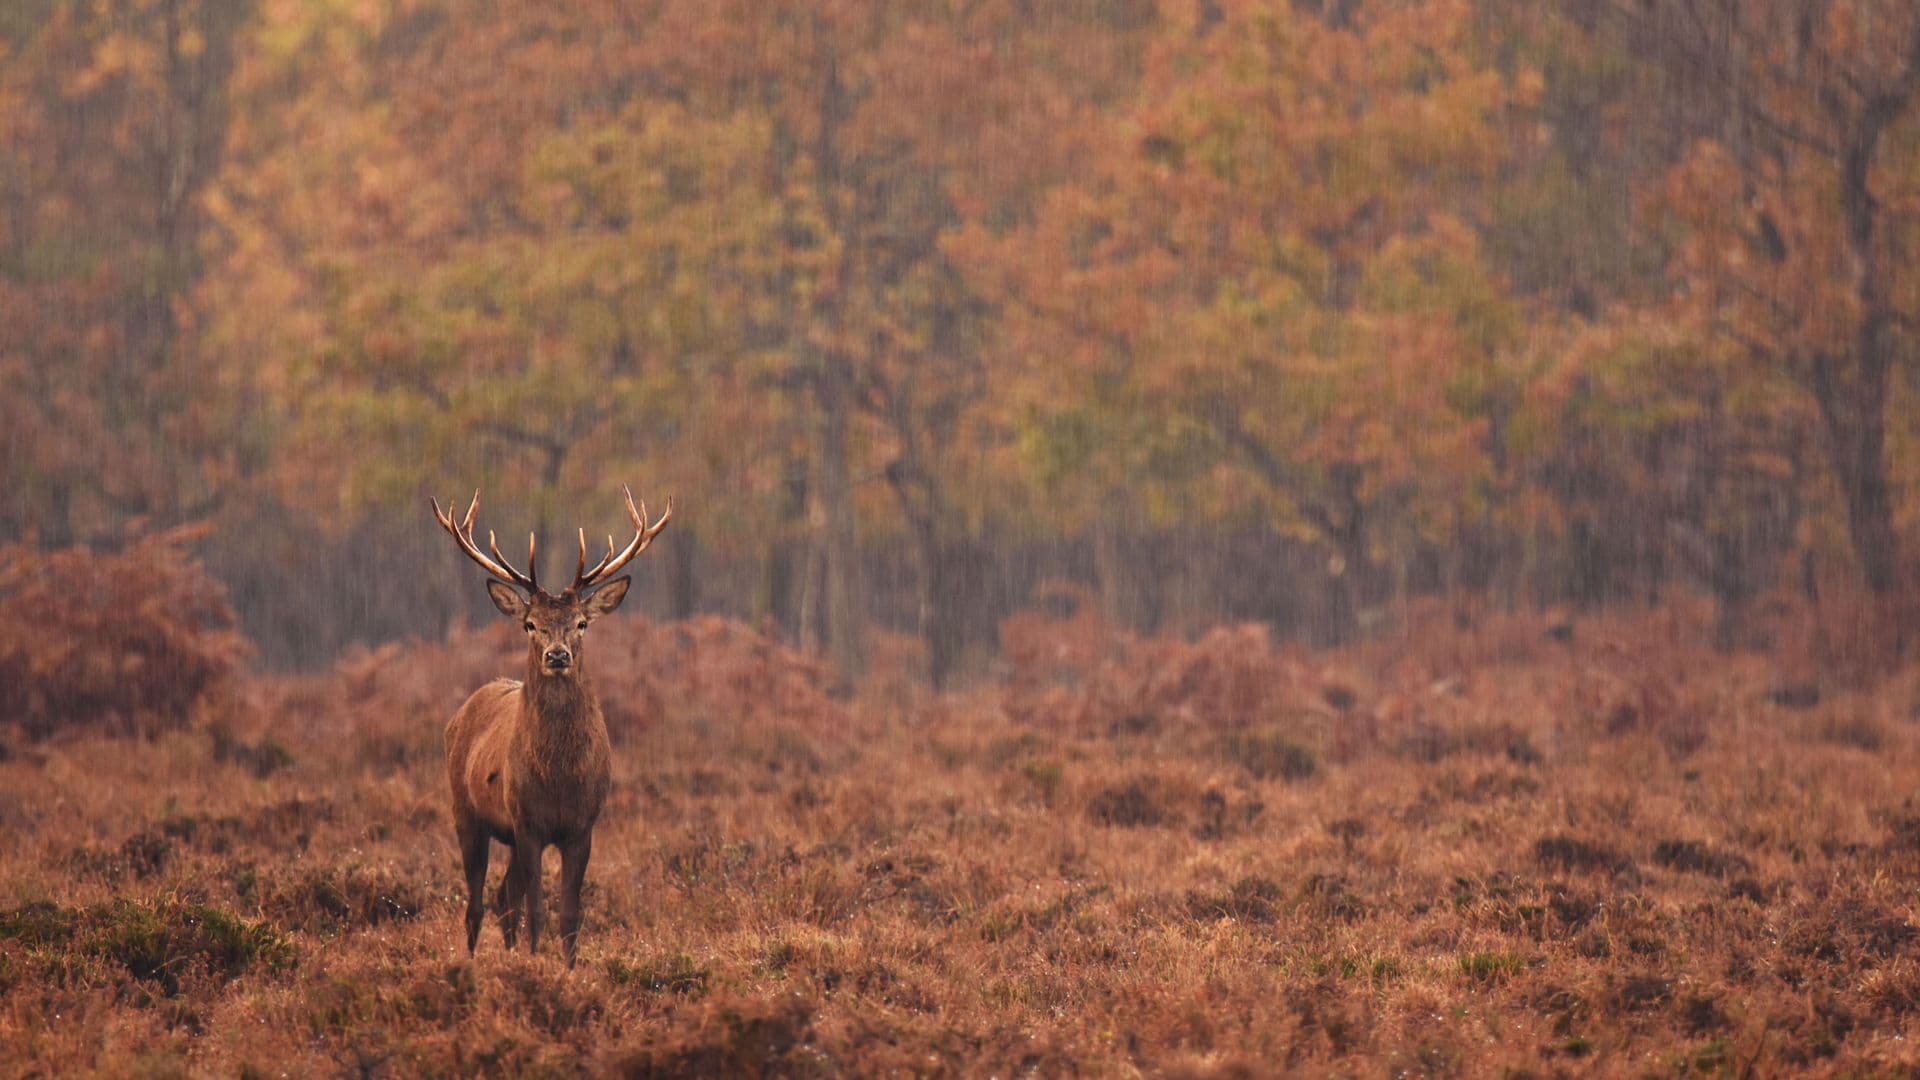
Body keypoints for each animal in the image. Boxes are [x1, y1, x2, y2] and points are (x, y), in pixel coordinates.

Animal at [429, 486, 670, 966]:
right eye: (530, 624)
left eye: (581, 623)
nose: (557, 655)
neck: (559, 776)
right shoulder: (527, 822)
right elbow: (538, 910)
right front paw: (536, 962)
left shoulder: (583, 825)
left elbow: (570, 914)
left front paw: (568, 969)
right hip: (466, 811)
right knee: (477, 904)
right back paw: (470, 963)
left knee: (504, 898)